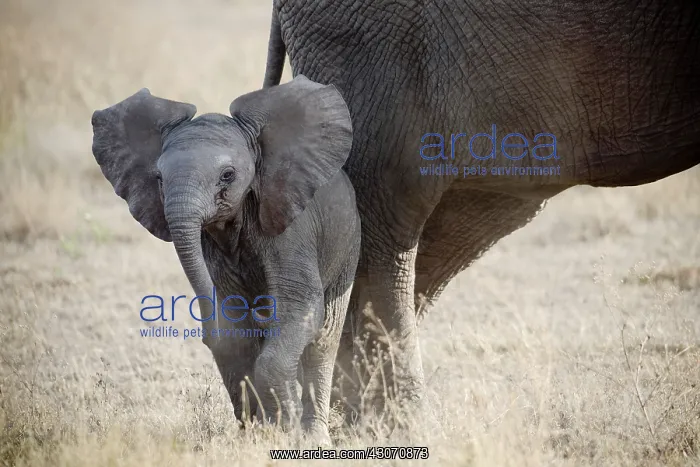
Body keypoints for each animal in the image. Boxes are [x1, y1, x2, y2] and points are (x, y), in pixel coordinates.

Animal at [90, 75, 361, 443]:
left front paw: (284, 429)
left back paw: (314, 437)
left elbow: (300, 305)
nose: (206, 333)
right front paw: (260, 431)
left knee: (322, 341)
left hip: (348, 246)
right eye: (158, 178)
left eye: (228, 175)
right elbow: (235, 332)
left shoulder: (292, 226)